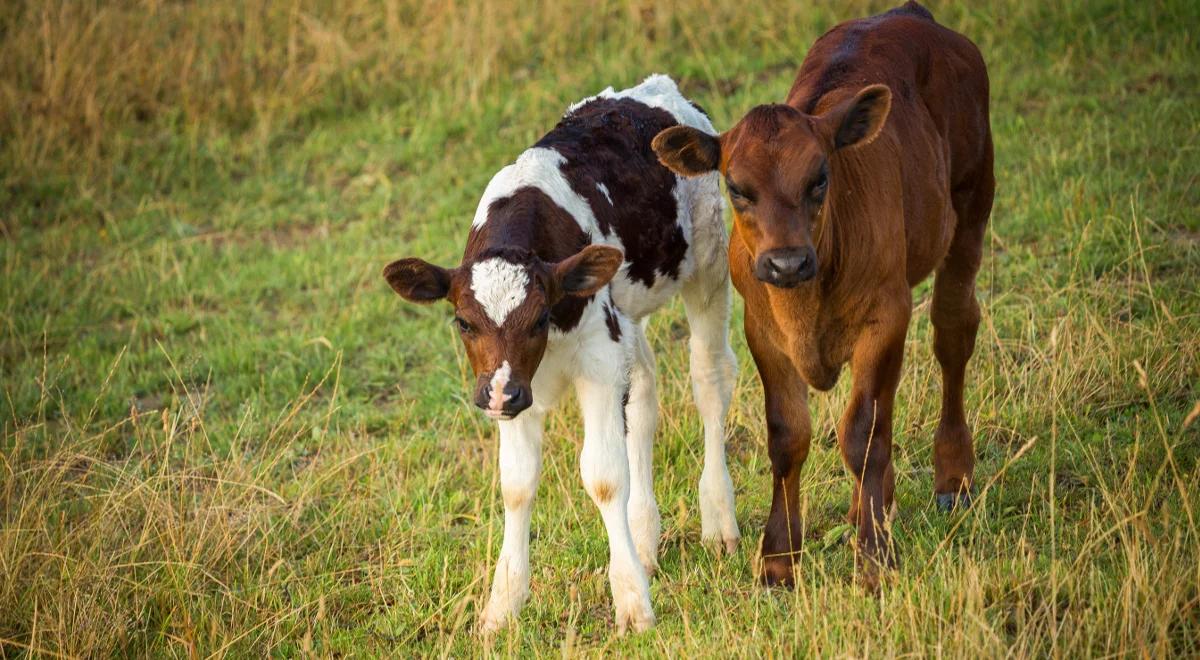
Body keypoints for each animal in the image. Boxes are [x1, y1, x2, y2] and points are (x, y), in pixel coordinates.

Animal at [384, 75, 739, 633]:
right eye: (464, 322)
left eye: (539, 318)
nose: (500, 396)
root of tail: (660, 89)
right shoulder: (512, 385)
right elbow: (517, 484)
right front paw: (502, 607)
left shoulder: (595, 356)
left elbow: (604, 476)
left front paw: (632, 603)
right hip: (626, 314)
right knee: (644, 393)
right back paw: (644, 538)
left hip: (707, 261)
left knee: (710, 378)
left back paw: (718, 519)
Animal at [652, 0, 988, 590]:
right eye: (735, 186)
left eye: (820, 177)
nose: (786, 262)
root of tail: (910, 14)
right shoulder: (763, 332)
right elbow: (788, 436)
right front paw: (778, 559)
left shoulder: (887, 316)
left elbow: (863, 432)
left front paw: (874, 557)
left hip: (974, 199)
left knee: (953, 331)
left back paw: (951, 476)